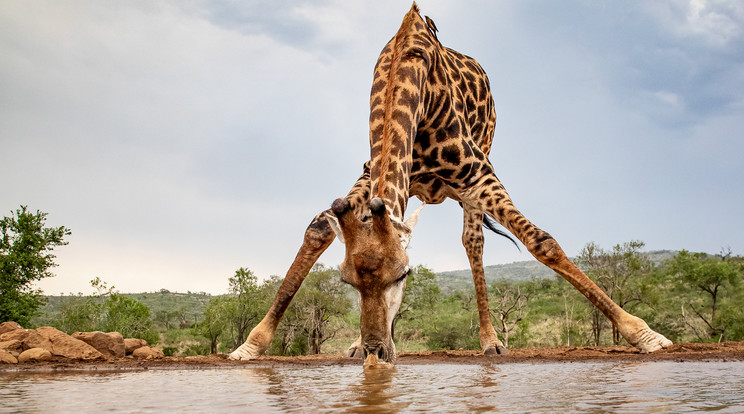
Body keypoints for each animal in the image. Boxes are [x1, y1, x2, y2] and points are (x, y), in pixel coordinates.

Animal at [228, 4, 676, 366]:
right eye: (346, 282)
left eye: (403, 276)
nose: (376, 351)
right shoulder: (369, 173)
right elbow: (319, 228)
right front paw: (251, 345)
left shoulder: (477, 173)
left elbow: (541, 242)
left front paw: (645, 334)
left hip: (478, 169)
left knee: (474, 242)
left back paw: (490, 342)